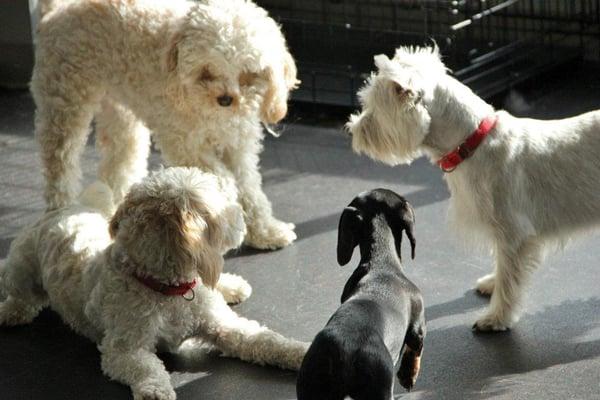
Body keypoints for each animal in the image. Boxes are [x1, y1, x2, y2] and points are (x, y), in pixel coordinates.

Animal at [0, 167, 310, 398]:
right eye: (222, 204)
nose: (241, 213)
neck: (168, 288)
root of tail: (64, 210)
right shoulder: (124, 348)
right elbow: (144, 367)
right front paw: (155, 389)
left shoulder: (223, 325)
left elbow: (265, 340)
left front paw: (300, 352)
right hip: (22, 266)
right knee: (18, 290)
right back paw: (10, 311)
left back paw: (232, 286)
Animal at [30, 0, 298, 250]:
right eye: (207, 72)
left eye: (248, 75)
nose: (226, 99)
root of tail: (57, 10)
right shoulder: (184, 143)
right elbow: (222, 178)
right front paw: (223, 199)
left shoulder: (239, 147)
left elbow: (251, 190)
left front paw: (266, 232)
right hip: (64, 101)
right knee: (60, 162)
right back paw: (61, 210)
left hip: (120, 111)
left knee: (119, 161)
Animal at [344, 46, 600, 332]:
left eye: (374, 109)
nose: (351, 129)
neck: (471, 142)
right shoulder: (503, 236)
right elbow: (502, 267)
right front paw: (492, 283)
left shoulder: (514, 235)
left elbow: (510, 279)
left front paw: (496, 318)